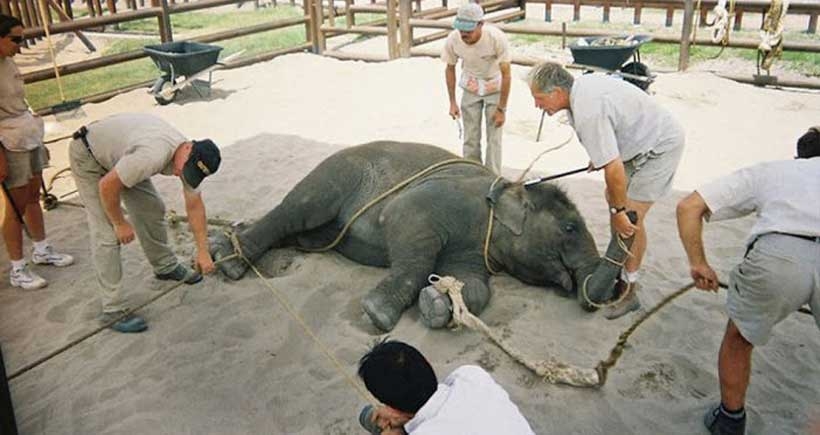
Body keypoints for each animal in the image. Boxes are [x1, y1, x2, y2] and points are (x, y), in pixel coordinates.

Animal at [210, 141, 628, 332]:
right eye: (570, 228)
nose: (629, 213)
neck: (506, 186)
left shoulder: (475, 246)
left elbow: (476, 285)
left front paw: (436, 305)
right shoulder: (441, 201)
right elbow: (407, 225)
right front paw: (378, 314)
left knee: (299, 233)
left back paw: (224, 243)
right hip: (337, 173)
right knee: (295, 210)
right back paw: (228, 262)